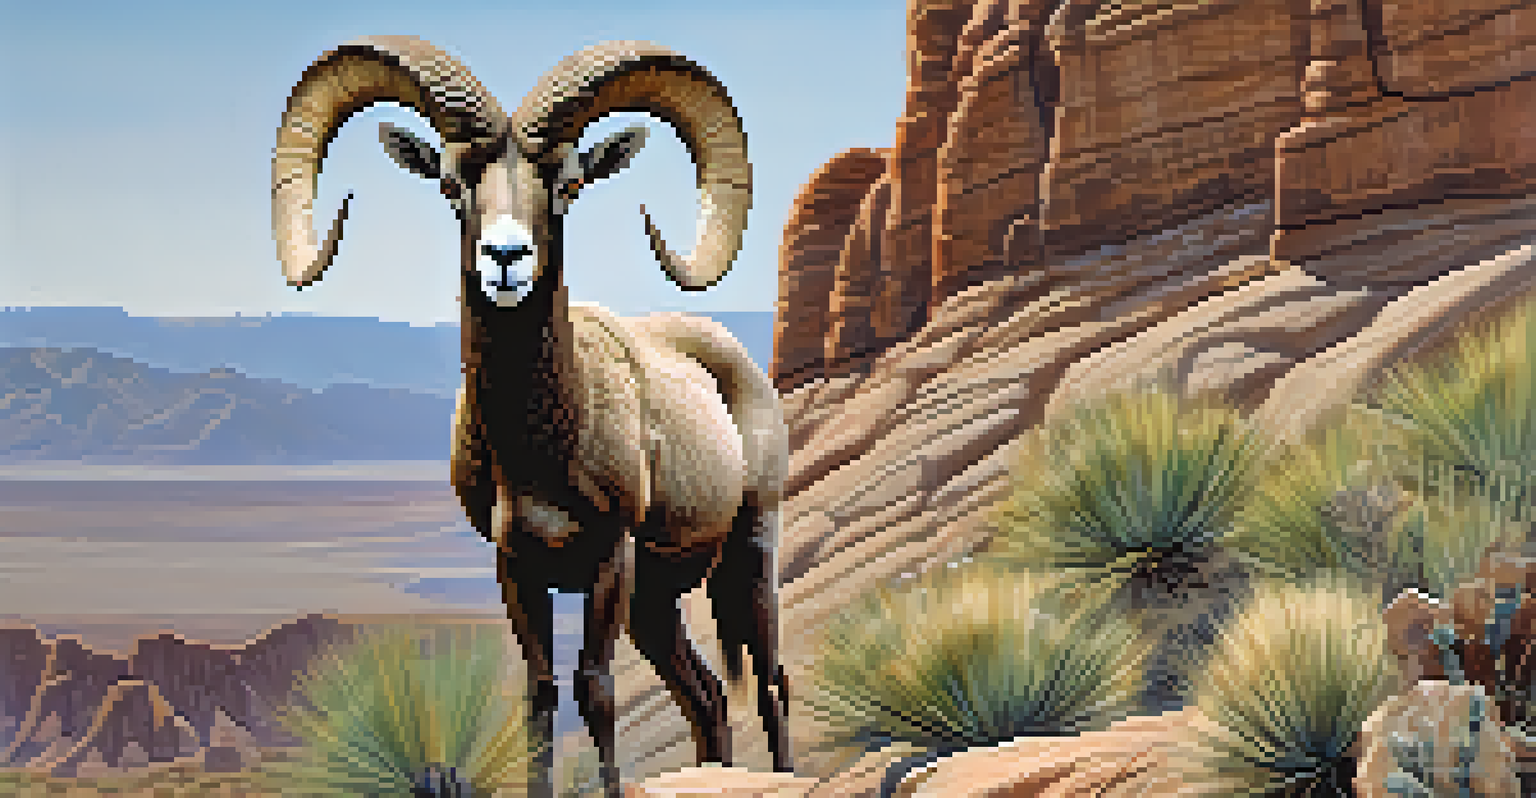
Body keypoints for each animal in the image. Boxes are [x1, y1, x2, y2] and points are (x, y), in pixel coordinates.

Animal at [270, 36, 792, 798]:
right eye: (451, 184)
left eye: (569, 183)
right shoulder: (517, 566)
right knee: (708, 698)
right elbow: (542, 694)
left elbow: (596, 688)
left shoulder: (608, 558)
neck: (546, 443)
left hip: (747, 556)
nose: (506, 258)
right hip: (656, 605)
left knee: (772, 682)